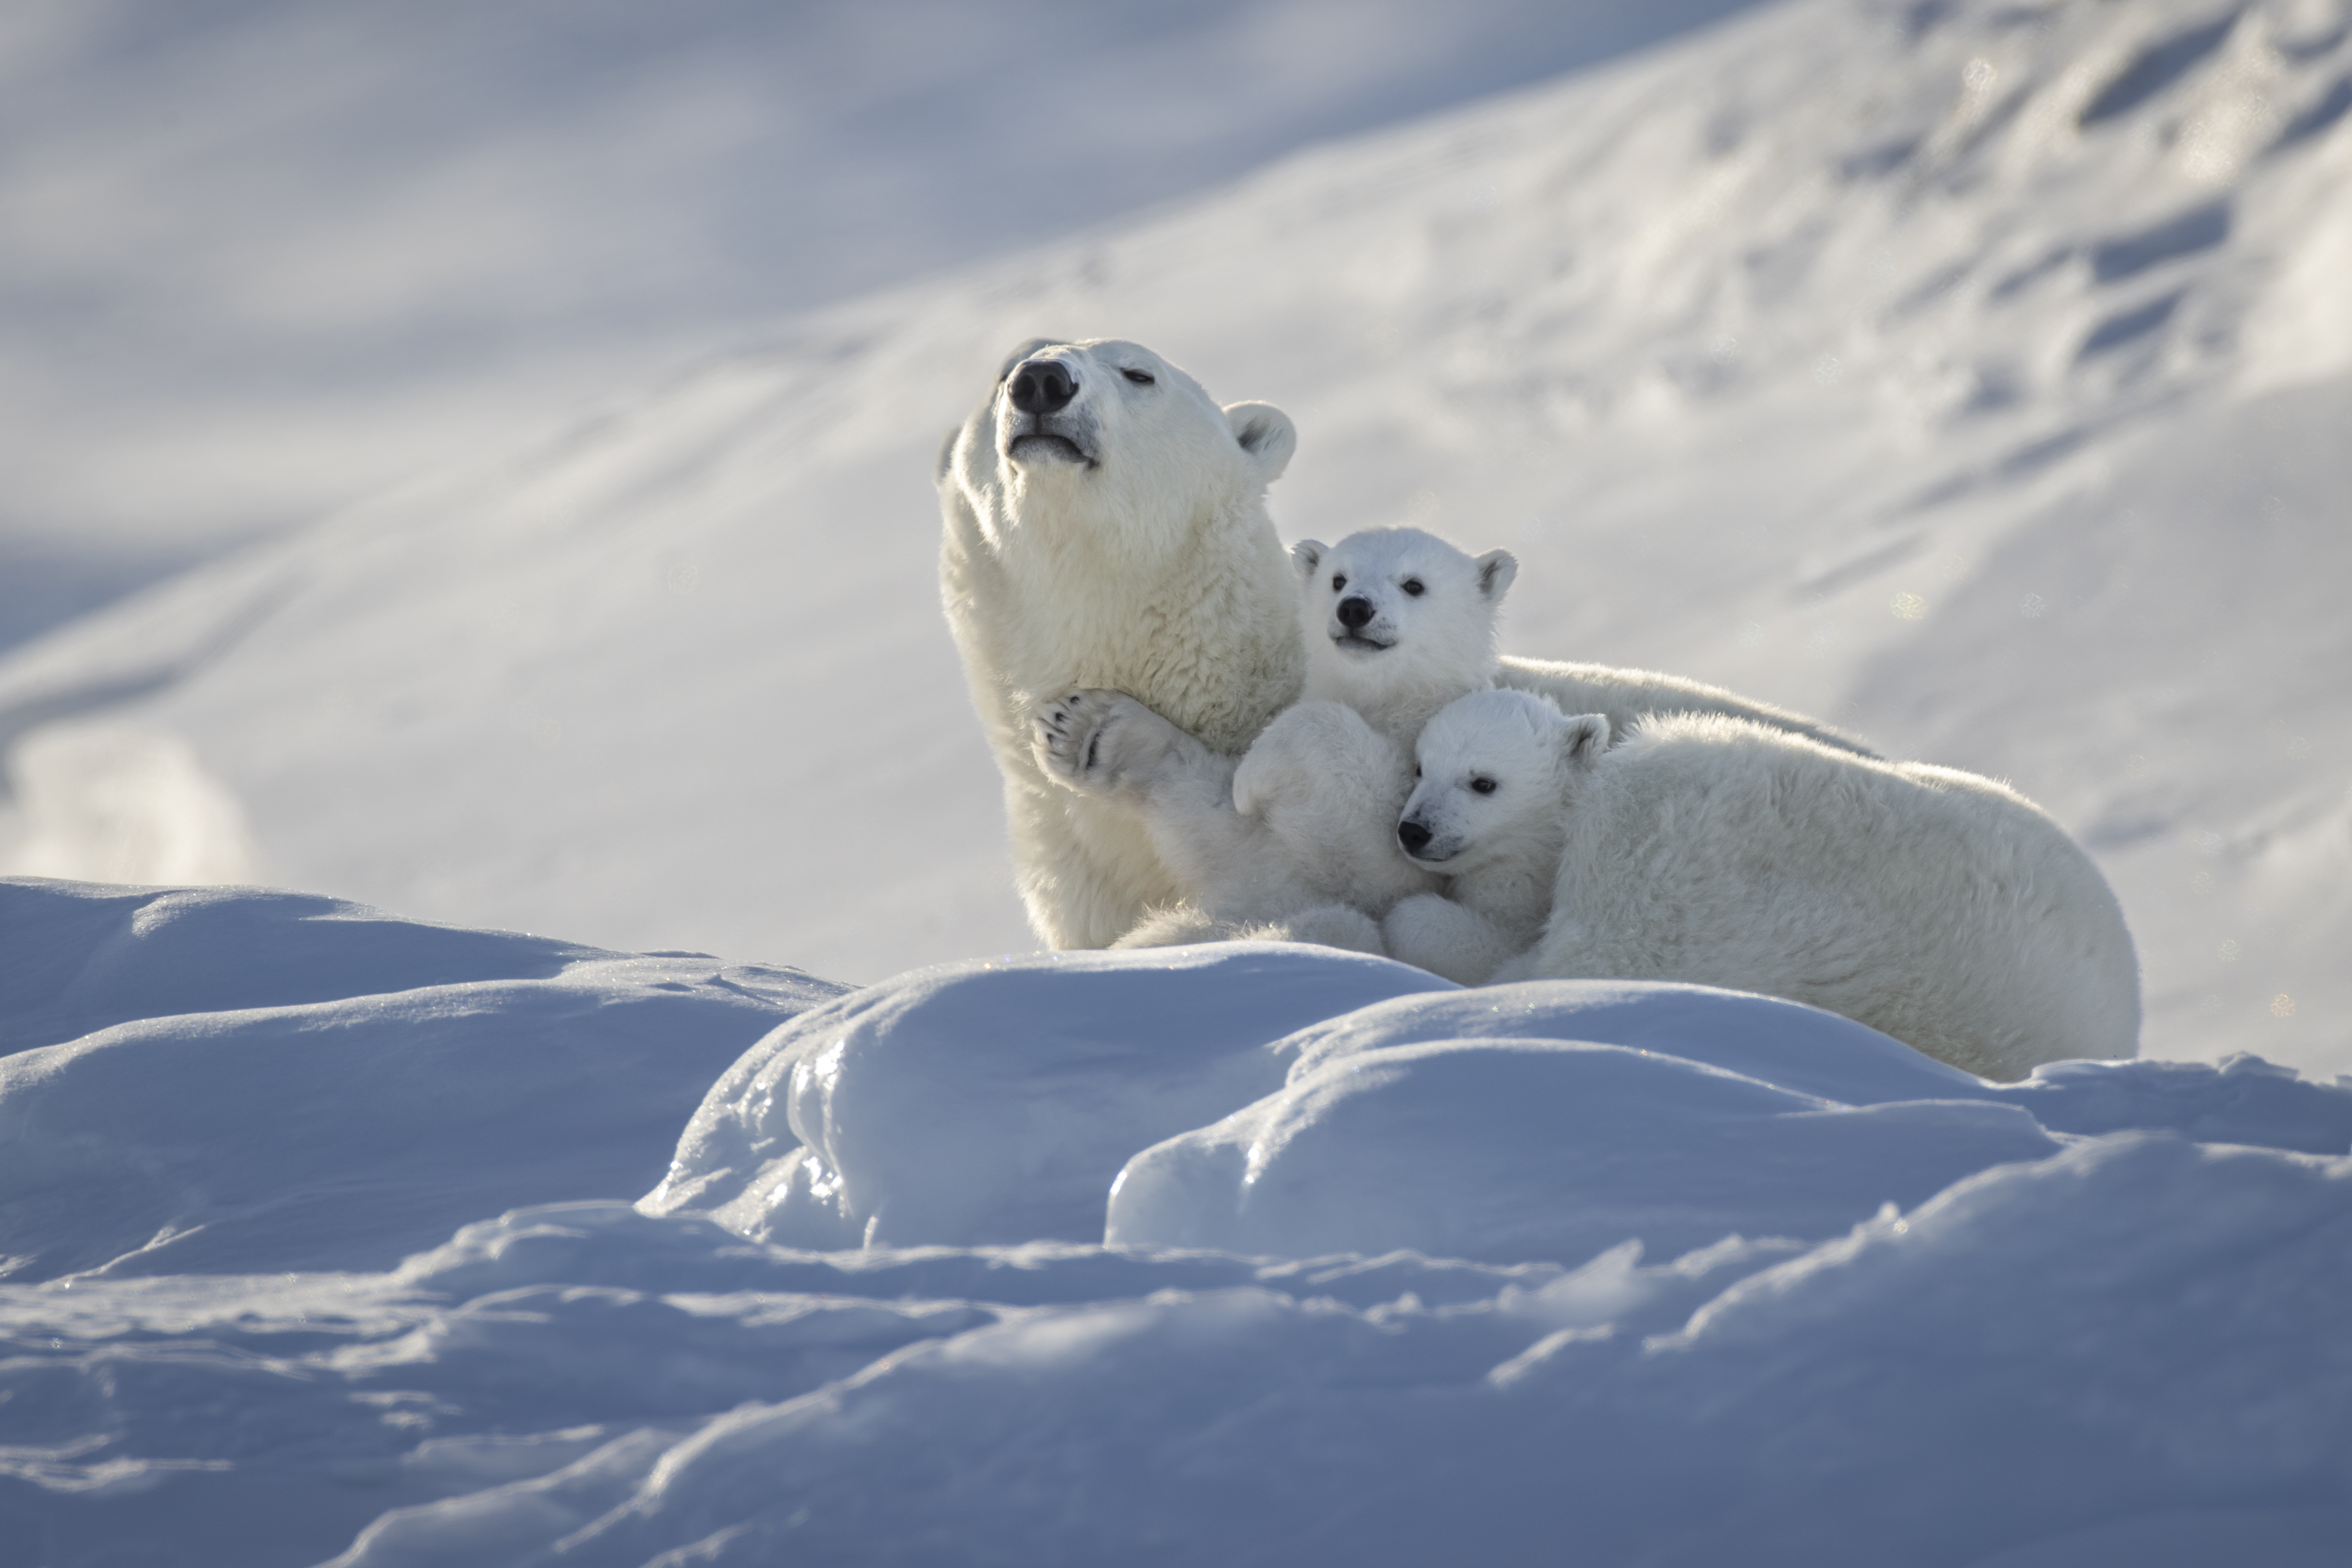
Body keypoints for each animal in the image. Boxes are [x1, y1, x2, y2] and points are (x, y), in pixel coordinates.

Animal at [936, 341, 1872, 950]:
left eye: (1139, 371)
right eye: (999, 378)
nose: (1041, 381)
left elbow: (1338, 865)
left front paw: (1106, 735)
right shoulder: (1075, 876)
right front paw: (1088, 735)